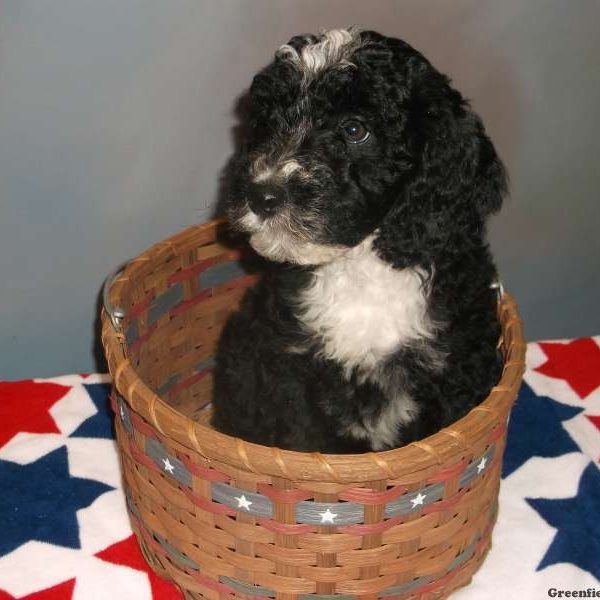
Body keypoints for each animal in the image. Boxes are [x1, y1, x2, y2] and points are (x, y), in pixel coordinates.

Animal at [211, 27, 506, 450]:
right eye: (267, 121)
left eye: (354, 130)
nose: (260, 194)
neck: (361, 265)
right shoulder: (289, 369)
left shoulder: (457, 369)